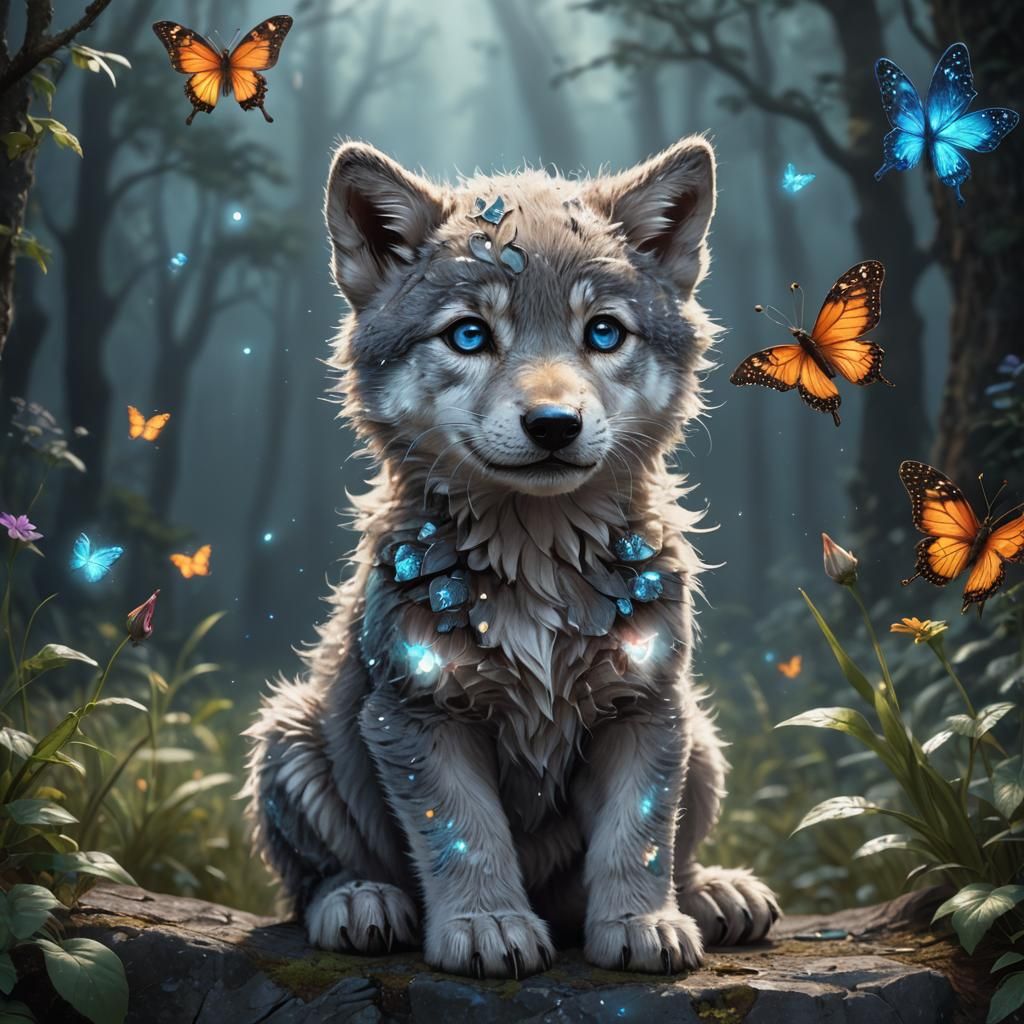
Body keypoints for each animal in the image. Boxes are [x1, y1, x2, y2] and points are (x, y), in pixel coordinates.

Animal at [244, 136, 779, 979]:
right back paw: (359, 902)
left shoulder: (645, 705)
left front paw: (642, 923)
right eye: (469, 335)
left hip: (702, 738)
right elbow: (465, 835)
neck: (537, 556)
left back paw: (713, 893)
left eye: (603, 332)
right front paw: (488, 925)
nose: (554, 423)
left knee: (680, 848)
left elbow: (639, 836)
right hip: (287, 729)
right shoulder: (417, 711)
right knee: (316, 879)